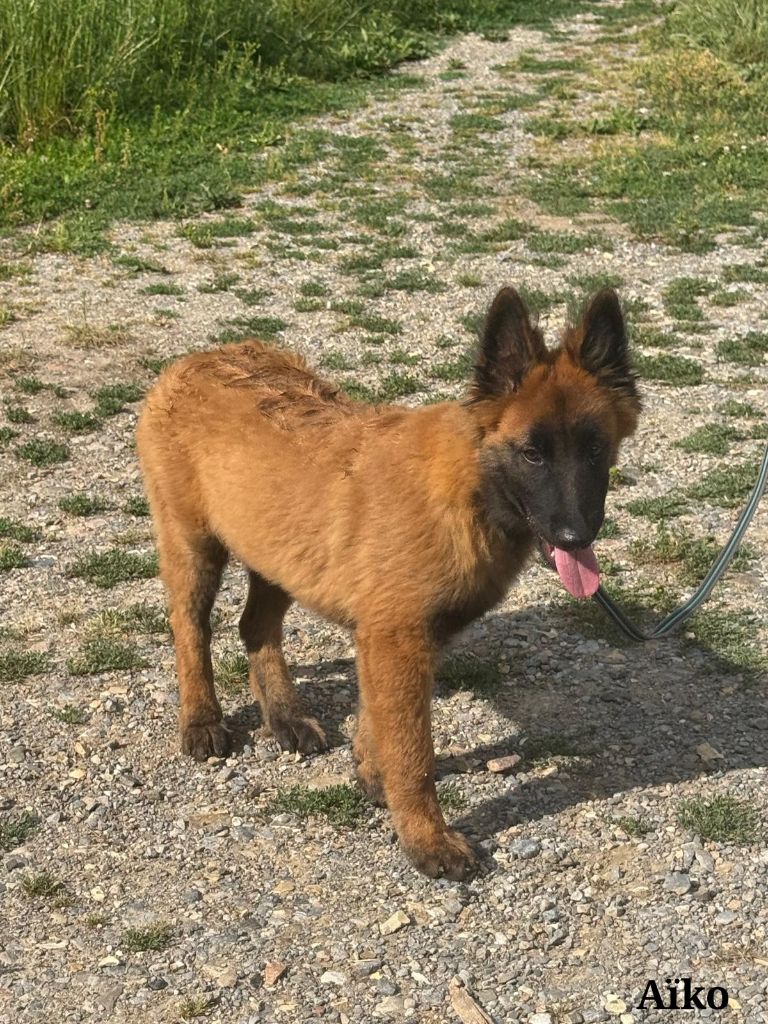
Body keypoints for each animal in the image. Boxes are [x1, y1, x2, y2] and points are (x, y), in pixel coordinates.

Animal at [136, 285, 640, 880]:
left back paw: (285, 716)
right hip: (195, 549)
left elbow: (378, 724)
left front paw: (372, 777)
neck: (468, 491)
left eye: (595, 450)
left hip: (279, 554)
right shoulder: (397, 641)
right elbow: (414, 752)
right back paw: (201, 720)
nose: (576, 535)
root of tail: (197, 359)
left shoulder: (399, 640)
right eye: (532, 453)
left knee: (255, 628)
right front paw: (427, 838)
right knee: (190, 629)